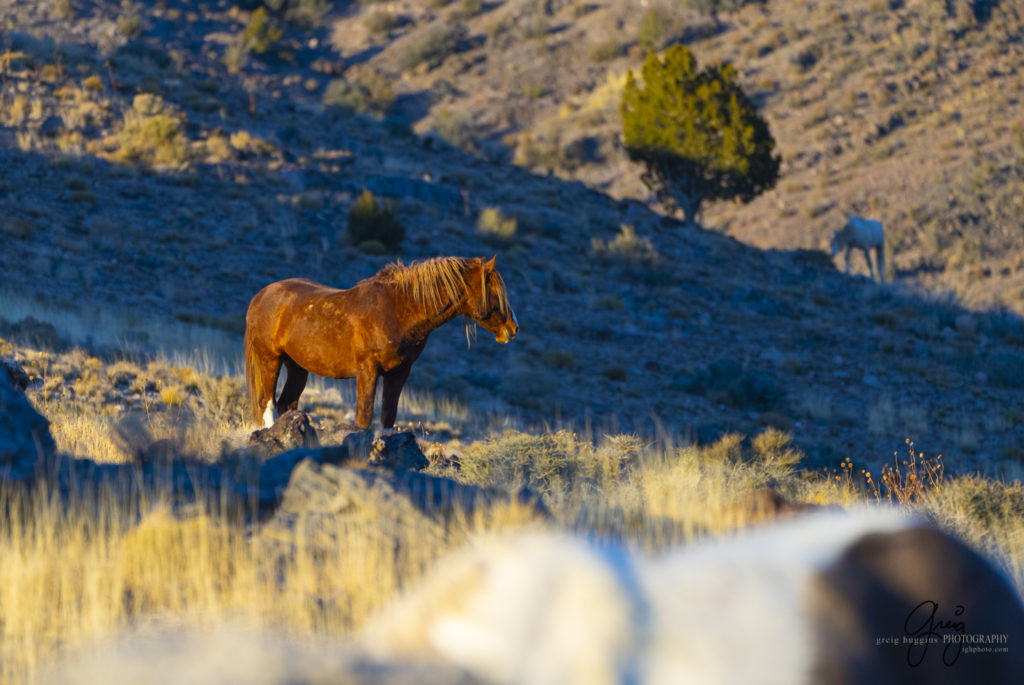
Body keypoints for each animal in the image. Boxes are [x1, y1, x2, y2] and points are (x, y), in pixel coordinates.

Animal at [243, 254, 516, 427]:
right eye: (494, 291)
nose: (513, 329)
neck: (397, 308)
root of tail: (259, 297)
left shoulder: (399, 374)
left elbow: (388, 417)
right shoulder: (368, 371)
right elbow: (364, 418)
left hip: (298, 367)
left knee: (286, 404)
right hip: (271, 360)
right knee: (267, 403)